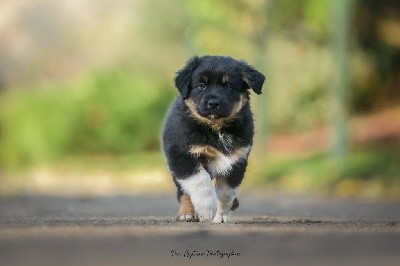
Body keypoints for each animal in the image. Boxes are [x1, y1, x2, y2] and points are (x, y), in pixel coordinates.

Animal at [161, 54, 264, 222]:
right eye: (202, 85)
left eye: (228, 86)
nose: (214, 103)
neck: (216, 128)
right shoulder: (183, 155)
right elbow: (200, 182)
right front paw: (206, 209)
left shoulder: (237, 161)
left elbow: (226, 193)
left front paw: (220, 215)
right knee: (183, 191)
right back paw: (186, 213)